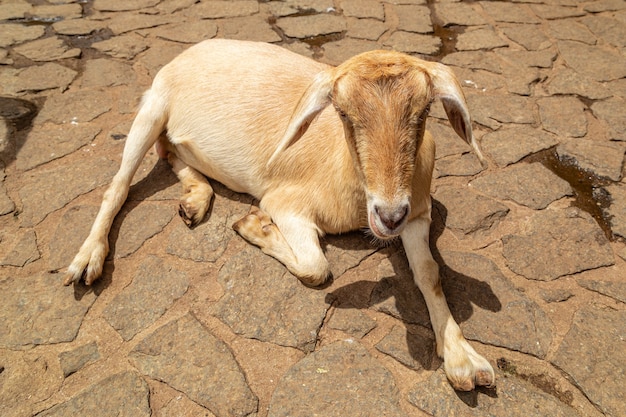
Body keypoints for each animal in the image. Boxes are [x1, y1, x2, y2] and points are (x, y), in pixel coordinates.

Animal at [63, 39, 492, 390]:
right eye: (343, 113)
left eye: (423, 112)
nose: (388, 215)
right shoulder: (286, 203)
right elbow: (317, 267)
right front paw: (254, 226)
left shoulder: (417, 214)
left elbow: (430, 274)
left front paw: (463, 359)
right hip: (152, 108)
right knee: (120, 183)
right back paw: (87, 260)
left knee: (169, 150)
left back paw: (195, 199)